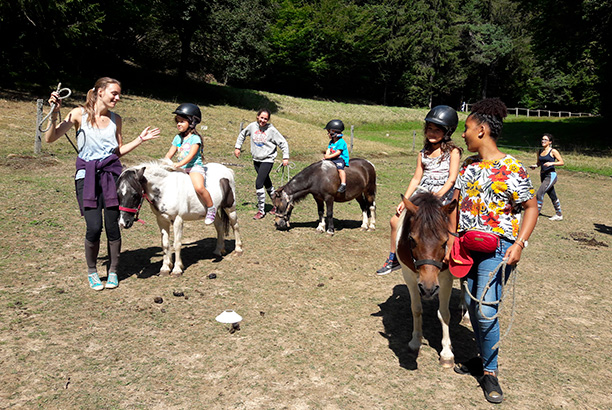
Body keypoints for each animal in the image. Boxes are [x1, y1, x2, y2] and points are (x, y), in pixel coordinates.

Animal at [396, 192, 460, 368]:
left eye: (445, 242)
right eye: (412, 239)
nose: (428, 289)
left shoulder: (446, 278)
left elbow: (444, 313)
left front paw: (447, 353)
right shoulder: (409, 275)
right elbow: (416, 308)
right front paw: (415, 342)